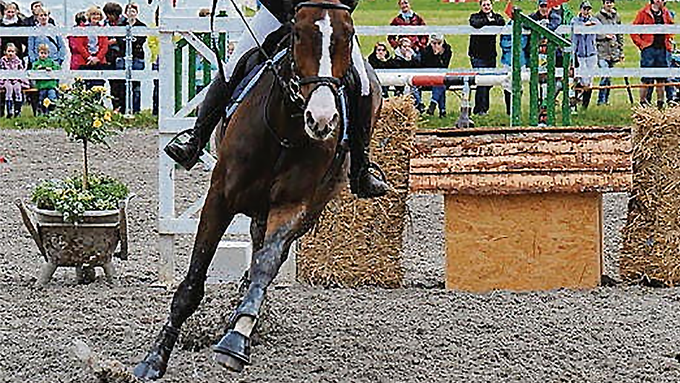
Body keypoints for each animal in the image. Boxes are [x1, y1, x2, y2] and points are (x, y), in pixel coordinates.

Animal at [134, 0, 382, 378]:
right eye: (298, 33)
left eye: (348, 34)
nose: (322, 120)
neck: (286, 130)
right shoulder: (219, 198)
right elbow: (192, 284)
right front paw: (154, 358)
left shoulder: (294, 206)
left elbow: (265, 267)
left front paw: (237, 339)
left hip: (304, 209)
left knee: (267, 256)